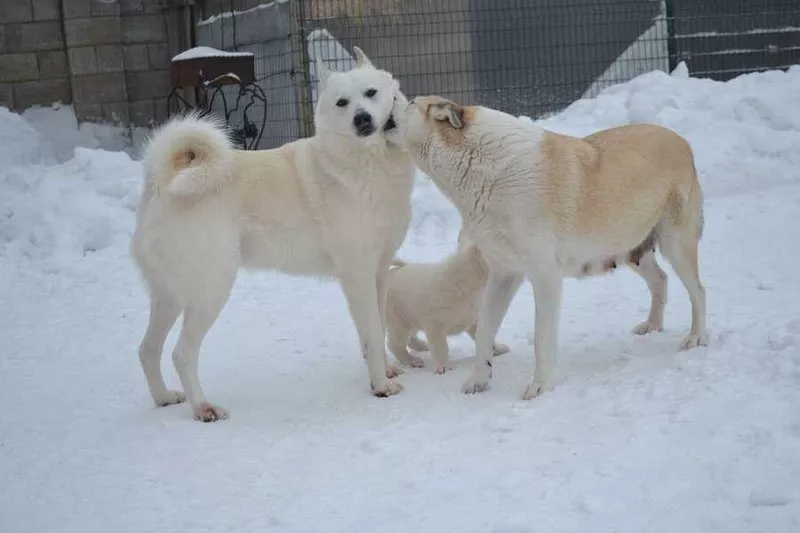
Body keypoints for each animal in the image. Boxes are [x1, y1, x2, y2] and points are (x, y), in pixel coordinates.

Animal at [129, 47, 416, 420]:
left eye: (371, 93)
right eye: (342, 103)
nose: (362, 119)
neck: (365, 164)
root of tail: (161, 183)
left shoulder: (378, 274)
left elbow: (377, 331)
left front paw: (384, 372)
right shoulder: (358, 276)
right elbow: (370, 333)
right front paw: (380, 386)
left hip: (169, 297)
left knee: (147, 348)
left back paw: (163, 397)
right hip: (211, 292)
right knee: (181, 353)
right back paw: (204, 407)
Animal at [384, 232, 510, 374]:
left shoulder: (472, 315)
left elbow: (483, 333)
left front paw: (499, 349)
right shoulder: (435, 322)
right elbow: (441, 346)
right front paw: (443, 366)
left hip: (409, 312)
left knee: (411, 335)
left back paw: (422, 346)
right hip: (396, 314)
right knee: (396, 342)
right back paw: (413, 360)